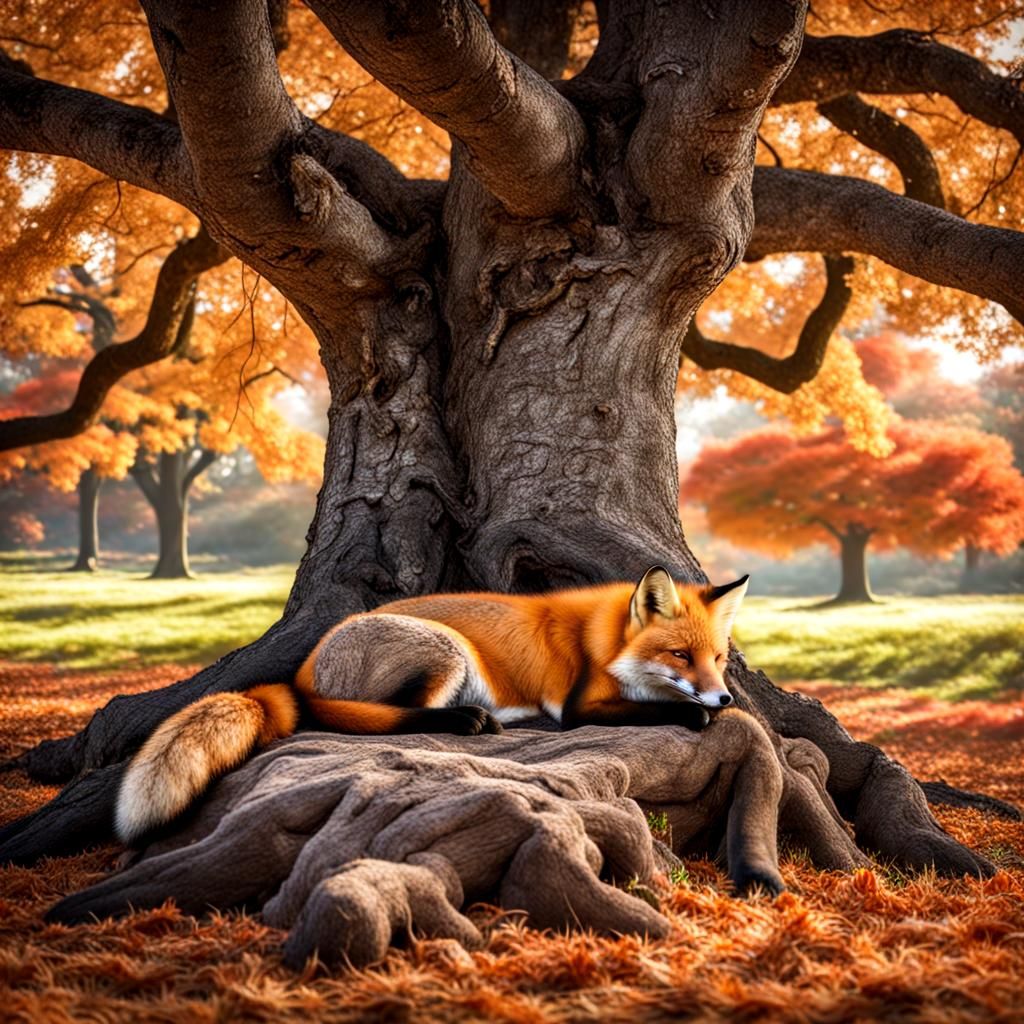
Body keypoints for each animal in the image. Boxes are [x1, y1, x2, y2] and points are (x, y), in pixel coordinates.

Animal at [115, 566, 749, 843]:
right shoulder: (579, 706)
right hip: (447, 651)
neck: (603, 637)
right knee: (389, 718)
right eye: (679, 655)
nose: (724, 693)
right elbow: (661, 706)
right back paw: (467, 720)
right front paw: (698, 711)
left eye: (718, 658)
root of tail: (303, 670)